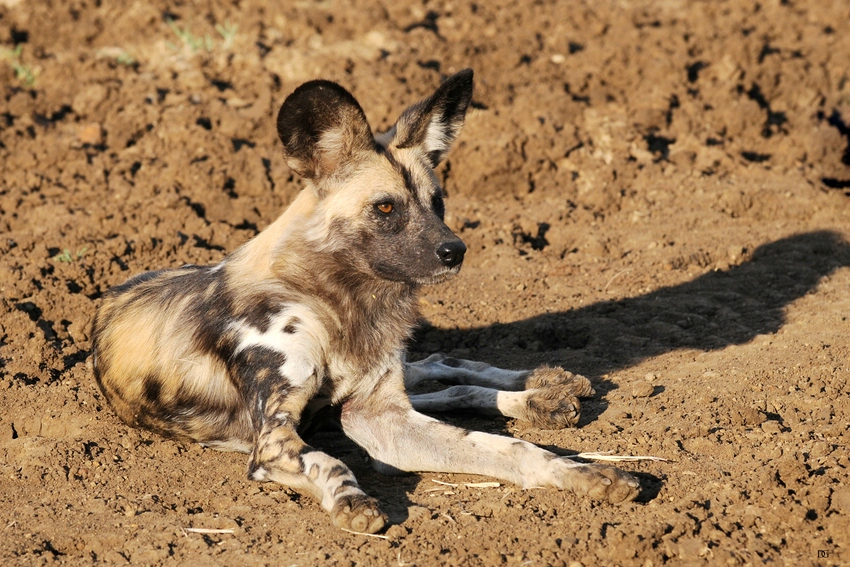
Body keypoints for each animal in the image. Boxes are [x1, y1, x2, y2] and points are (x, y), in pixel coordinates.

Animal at [91, 69, 636, 536]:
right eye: (386, 207)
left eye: (438, 203)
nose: (455, 250)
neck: (342, 302)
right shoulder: (278, 440)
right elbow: (330, 459)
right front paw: (352, 500)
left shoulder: (379, 416)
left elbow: (509, 447)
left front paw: (581, 472)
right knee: (434, 383)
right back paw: (541, 395)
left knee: (442, 369)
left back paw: (543, 388)